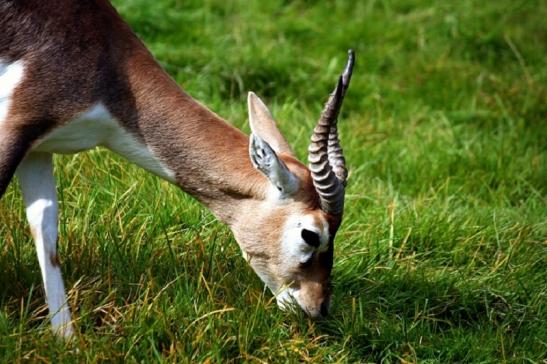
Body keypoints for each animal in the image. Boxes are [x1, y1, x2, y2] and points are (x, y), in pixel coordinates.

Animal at [0, 0, 356, 338]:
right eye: (311, 234)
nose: (319, 307)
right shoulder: (16, 127)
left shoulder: (38, 149)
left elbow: (46, 231)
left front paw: (67, 341)